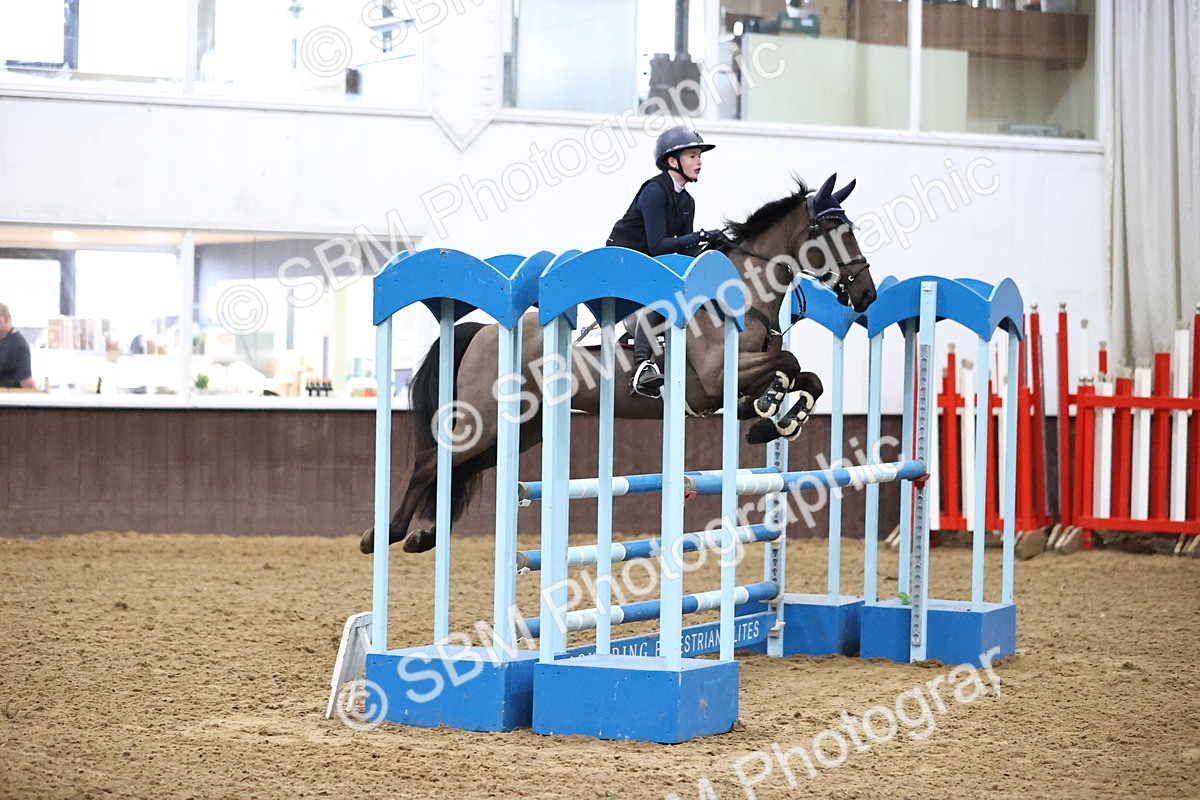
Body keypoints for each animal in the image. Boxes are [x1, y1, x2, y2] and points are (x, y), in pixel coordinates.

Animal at [360, 173, 877, 554]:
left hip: (522, 427)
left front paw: (776, 421)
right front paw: (772, 412)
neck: (741, 293)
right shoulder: (714, 378)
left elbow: (804, 375)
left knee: (456, 469)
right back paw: (384, 535)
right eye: (835, 232)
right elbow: (786, 362)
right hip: (484, 419)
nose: (868, 294)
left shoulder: (735, 383)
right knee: (431, 461)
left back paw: (422, 537)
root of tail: (485, 332)